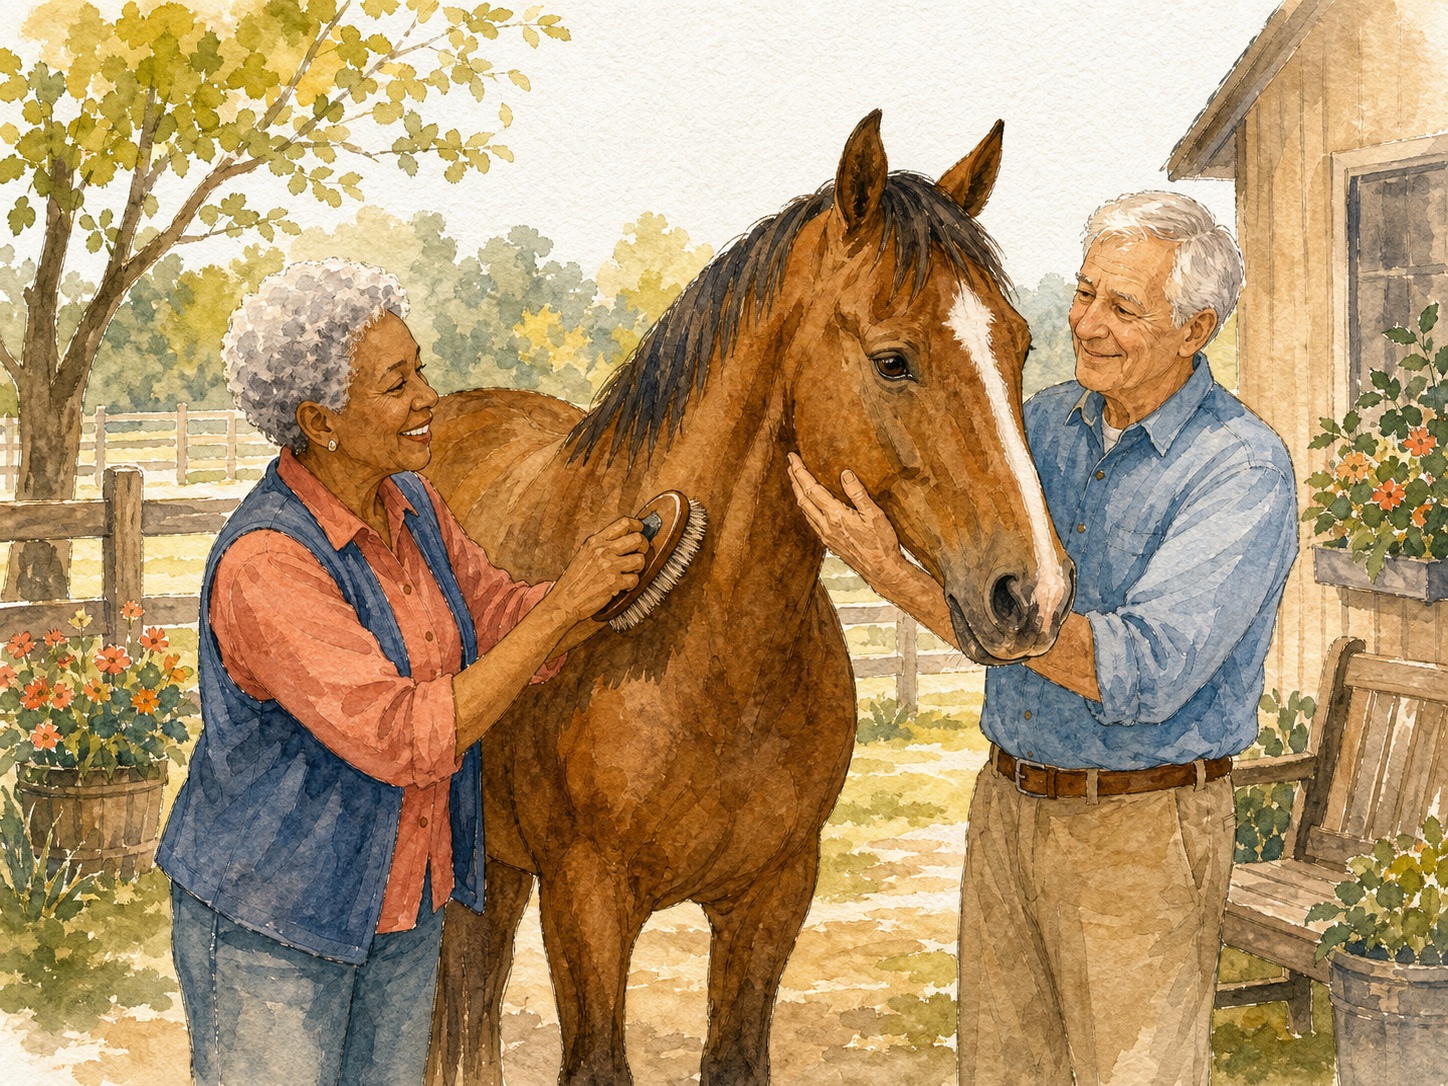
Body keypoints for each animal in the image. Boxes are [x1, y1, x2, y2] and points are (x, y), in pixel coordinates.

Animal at [423, 111, 1075, 1086]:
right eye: (892, 360)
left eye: (1019, 344)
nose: (1032, 595)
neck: (702, 652)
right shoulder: (586, 905)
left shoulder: (771, 901)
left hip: (496, 869)